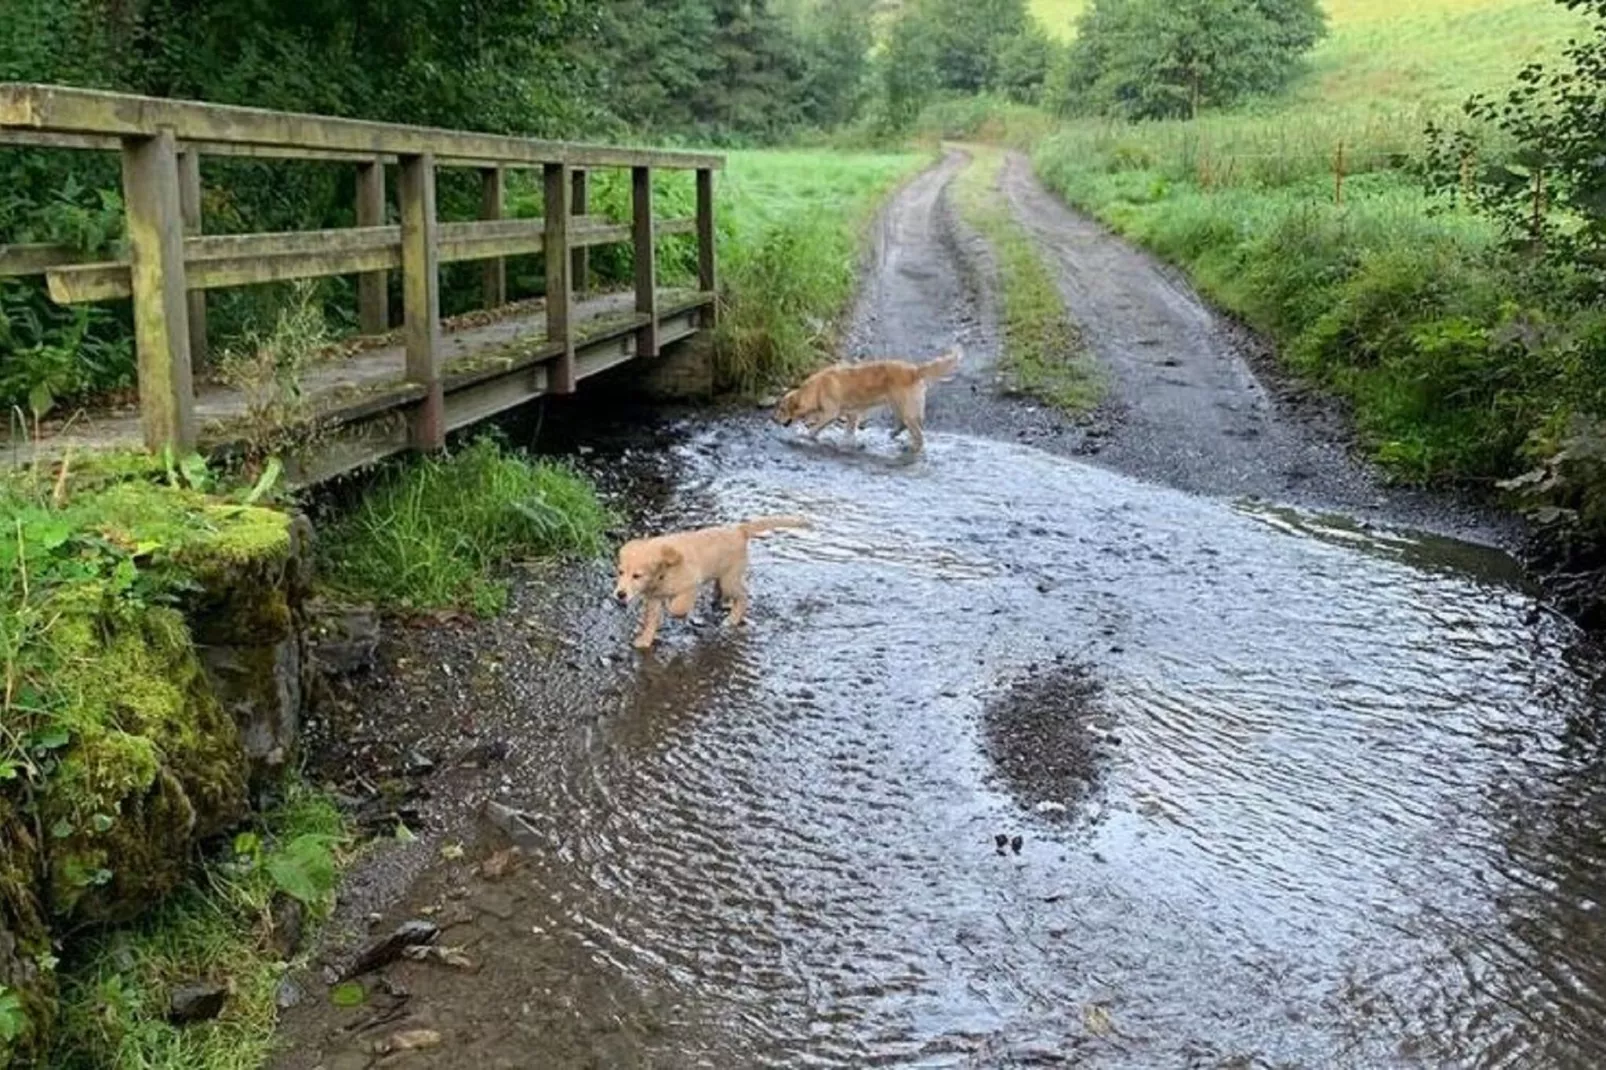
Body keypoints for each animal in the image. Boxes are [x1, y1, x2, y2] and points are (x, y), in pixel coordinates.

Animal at [607, 514, 809, 645]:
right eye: (620, 572)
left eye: (637, 576)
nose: (620, 594)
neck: (664, 572)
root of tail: (739, 530)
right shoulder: (654, 599)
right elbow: (651, 620)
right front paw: (644, 641)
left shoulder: (690, 585)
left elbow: (677, 607)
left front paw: (674, 611)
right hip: (723, 577)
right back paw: (719, 601)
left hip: (730, 579)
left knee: (743, 596)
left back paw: (732, 618)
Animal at [770, 348, 957, 453]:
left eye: (781, 409)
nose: (772, 418)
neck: (816, 389)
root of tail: (915, 370)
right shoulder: (852, 414)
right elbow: (849, 431)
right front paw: (847, 443)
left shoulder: (831, 413)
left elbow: (816, 427)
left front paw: (806, 435)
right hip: (899, 406)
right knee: (904, 425)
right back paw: (893, 434)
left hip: (906, 408)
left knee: (919, 436)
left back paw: (912, 447)